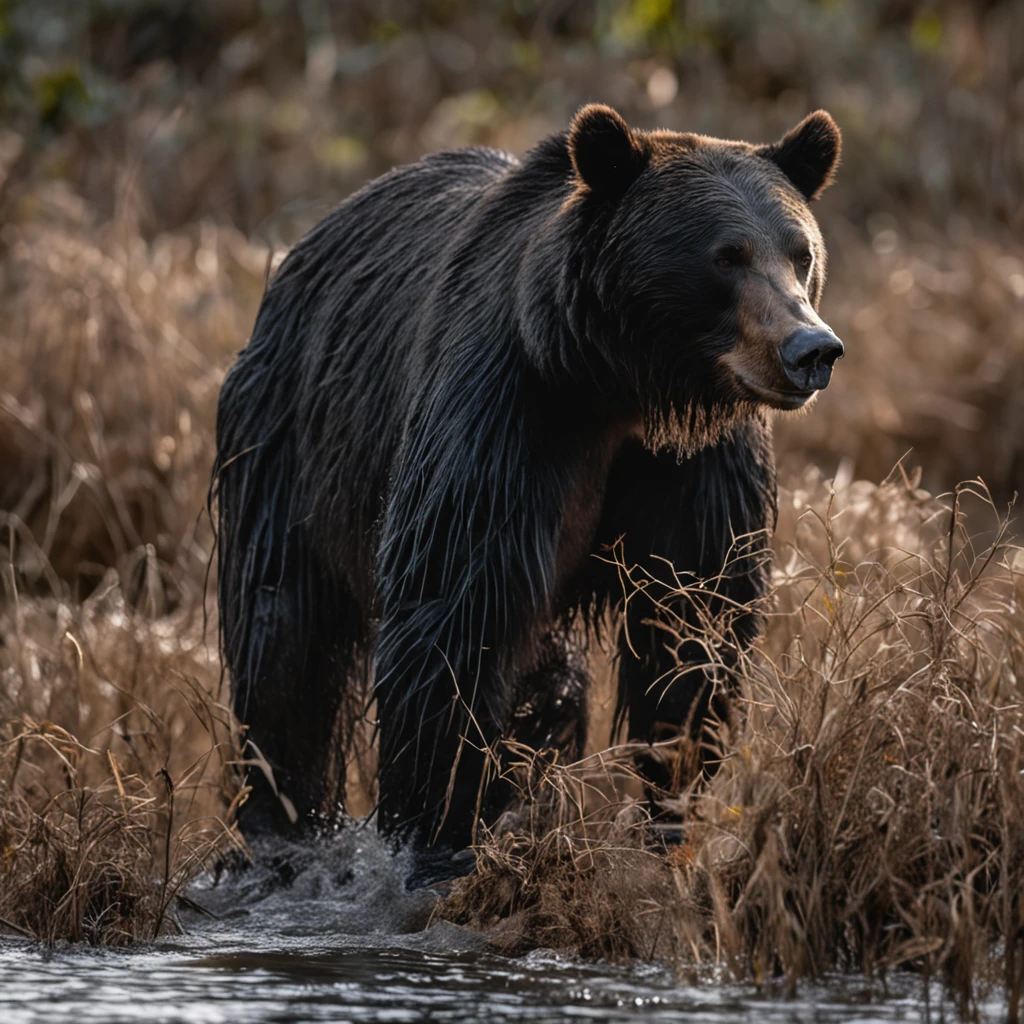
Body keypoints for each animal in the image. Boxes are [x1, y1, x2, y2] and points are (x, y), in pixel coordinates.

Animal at [211, 105, 843, 888]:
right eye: (726, 256)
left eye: (800, 253)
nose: (810, 349)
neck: (617, 383)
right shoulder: (507, 418)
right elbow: (453, 614)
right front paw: (436, 831)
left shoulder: (693, 467)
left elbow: (692, 623)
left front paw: (671, 812)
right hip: (290, 443)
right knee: (284, 637)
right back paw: (280, 828)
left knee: (550, 682)